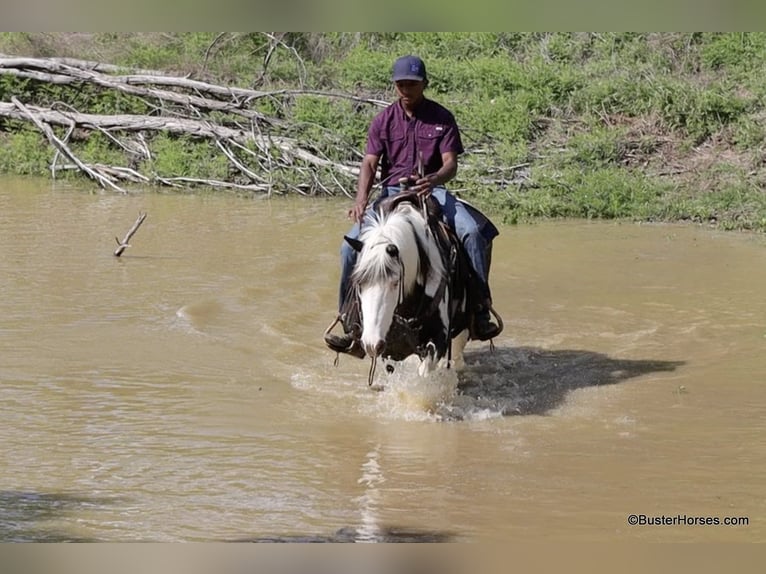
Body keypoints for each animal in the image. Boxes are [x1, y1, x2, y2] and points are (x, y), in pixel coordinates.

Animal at [334, 192, 484, 383]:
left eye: (395, 282)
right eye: (359, 282)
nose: (371, 343)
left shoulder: (439, 339)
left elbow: (424, 372)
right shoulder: (390, 348)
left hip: (461, 330)